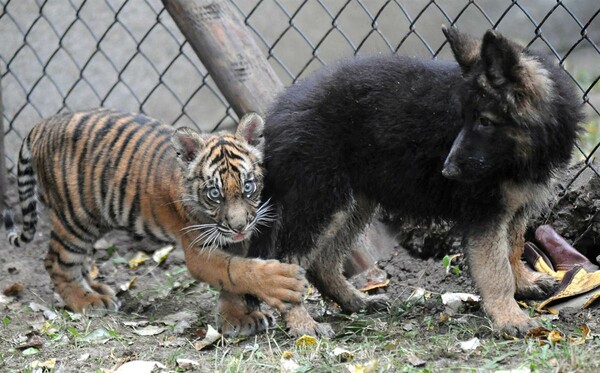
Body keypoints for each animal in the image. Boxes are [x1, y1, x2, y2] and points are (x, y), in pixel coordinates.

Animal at [241, 25, 584, 334]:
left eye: (484, 122)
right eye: (464, 119)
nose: (448, 172)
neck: (525, 152)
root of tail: (276, 117)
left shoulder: (515, 207)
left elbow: (513, 247)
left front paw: (523, 283)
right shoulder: (486, 215)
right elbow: (496, 267)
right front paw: (509, 316)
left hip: (352, 202)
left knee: (321, 262)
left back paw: (355, 301)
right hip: (322, 200)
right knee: (288, 259)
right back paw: (302, 322)